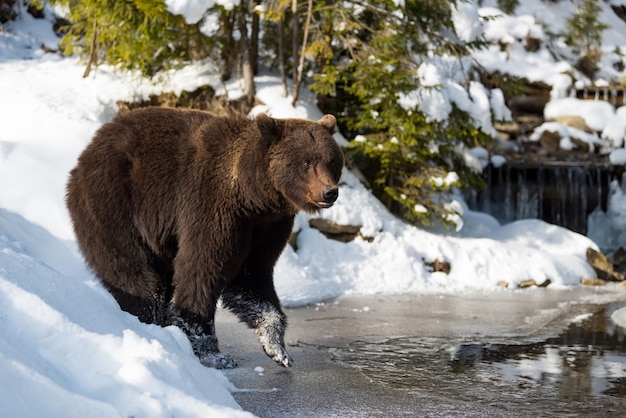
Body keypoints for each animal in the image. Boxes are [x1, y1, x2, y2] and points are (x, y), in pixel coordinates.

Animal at [66, 108, 344, 370]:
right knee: (135, 276)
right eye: (306, 161)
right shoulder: (213, 208)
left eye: (332, 160)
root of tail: (85, 154)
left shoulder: (267, 227)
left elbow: (252, 276)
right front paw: (211, 353)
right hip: (116, 207)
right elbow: (203, 270)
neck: (253, 197)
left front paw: (277, 347)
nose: (329, 192)